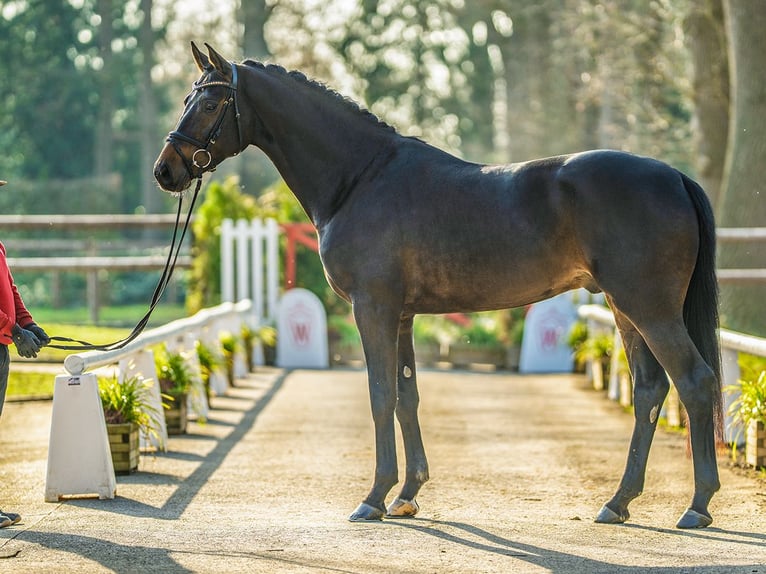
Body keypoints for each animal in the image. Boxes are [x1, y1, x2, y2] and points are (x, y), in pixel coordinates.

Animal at [154, 43, 723, 529]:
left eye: (210, 102)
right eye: (185, 98)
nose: (166, 171)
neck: (359, 178)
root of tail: (674, 176)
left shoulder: (373, 308)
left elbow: (379, 393)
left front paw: (373, 498)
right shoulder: (403, 314)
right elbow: (407, 395)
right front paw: (407, 495)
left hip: (649, 309)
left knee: (695, 382)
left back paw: (696, 506)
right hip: (627, 312)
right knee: (650, 390)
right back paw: (618, 502)